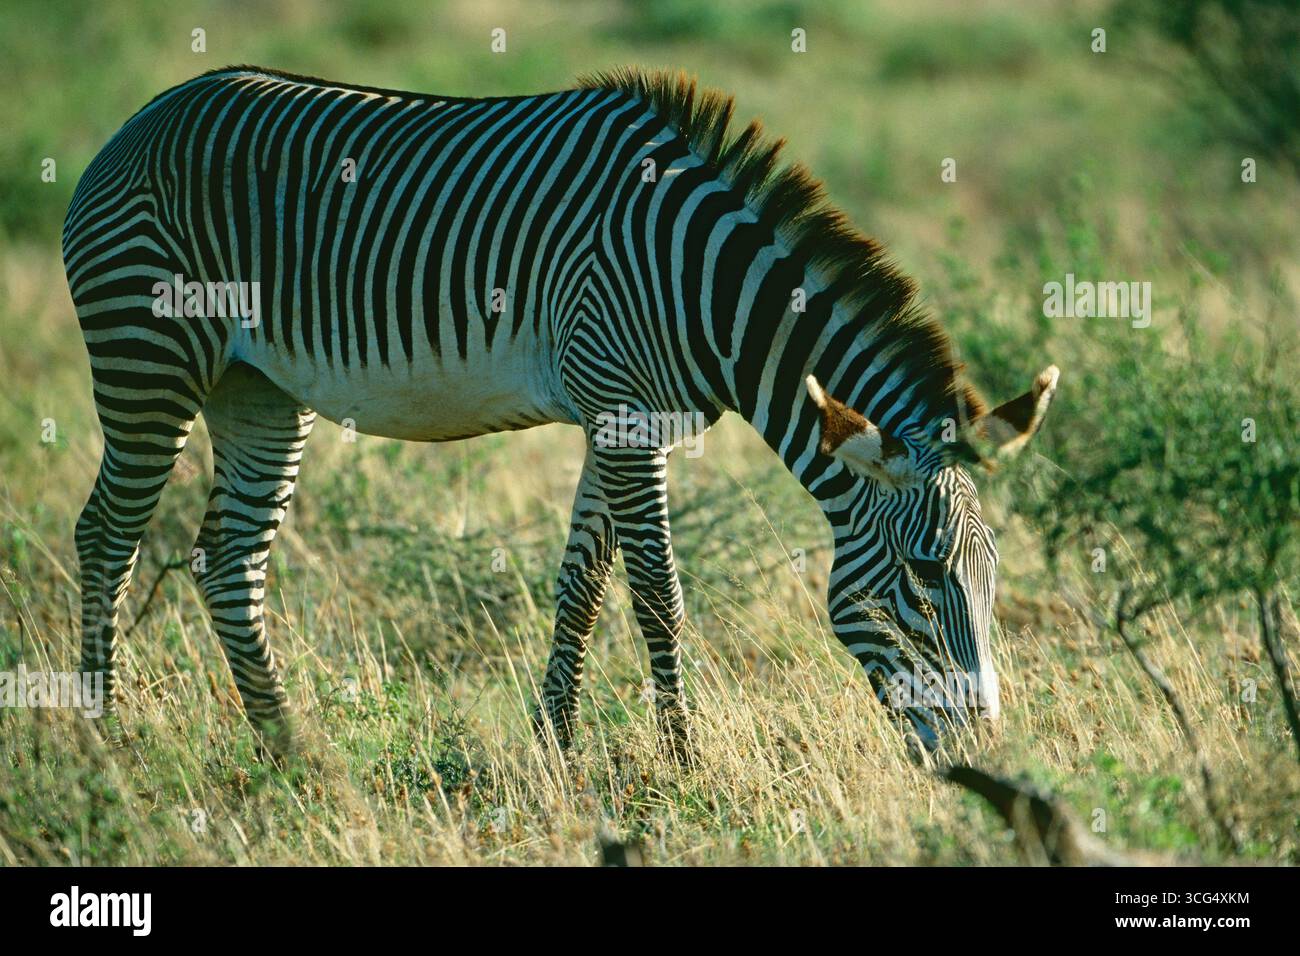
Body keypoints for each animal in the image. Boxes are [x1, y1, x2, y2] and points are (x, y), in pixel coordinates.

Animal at [62, 66, 1058, 762]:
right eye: (925, 576)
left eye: (994, 574)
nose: (985, 751)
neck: (702, 287)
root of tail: (138, 118)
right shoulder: (620, 405)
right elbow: (658, 592)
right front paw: (684, 763)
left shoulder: (616, 419)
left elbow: (581, 583)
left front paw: (557, 749)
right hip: (147, 352)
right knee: (106, 534)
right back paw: (102, 742)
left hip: (257, 388)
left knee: (229, 558)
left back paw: (290, 752)